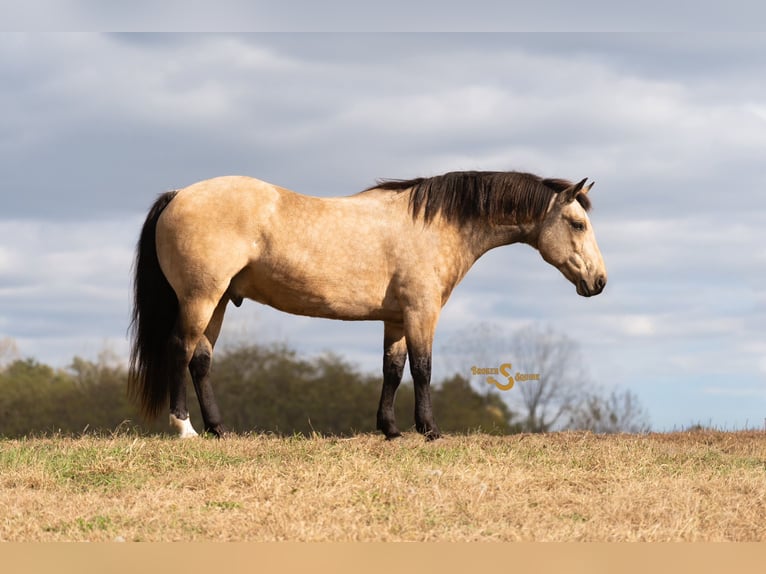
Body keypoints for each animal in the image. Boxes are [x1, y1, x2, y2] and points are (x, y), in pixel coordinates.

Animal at [128, 170, 607, 440]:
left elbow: (392, 371)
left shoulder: (395, 319)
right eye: (577, 224)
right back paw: (185, 429)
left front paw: (390, 430)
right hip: (201, 298)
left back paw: (219, 429)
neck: (432, 225)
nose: (599, 282)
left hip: (220, 302)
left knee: (201, 360)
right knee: (180, 351)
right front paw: (429, 430)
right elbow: (423, 369)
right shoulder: (420, 313)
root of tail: (179, 194)